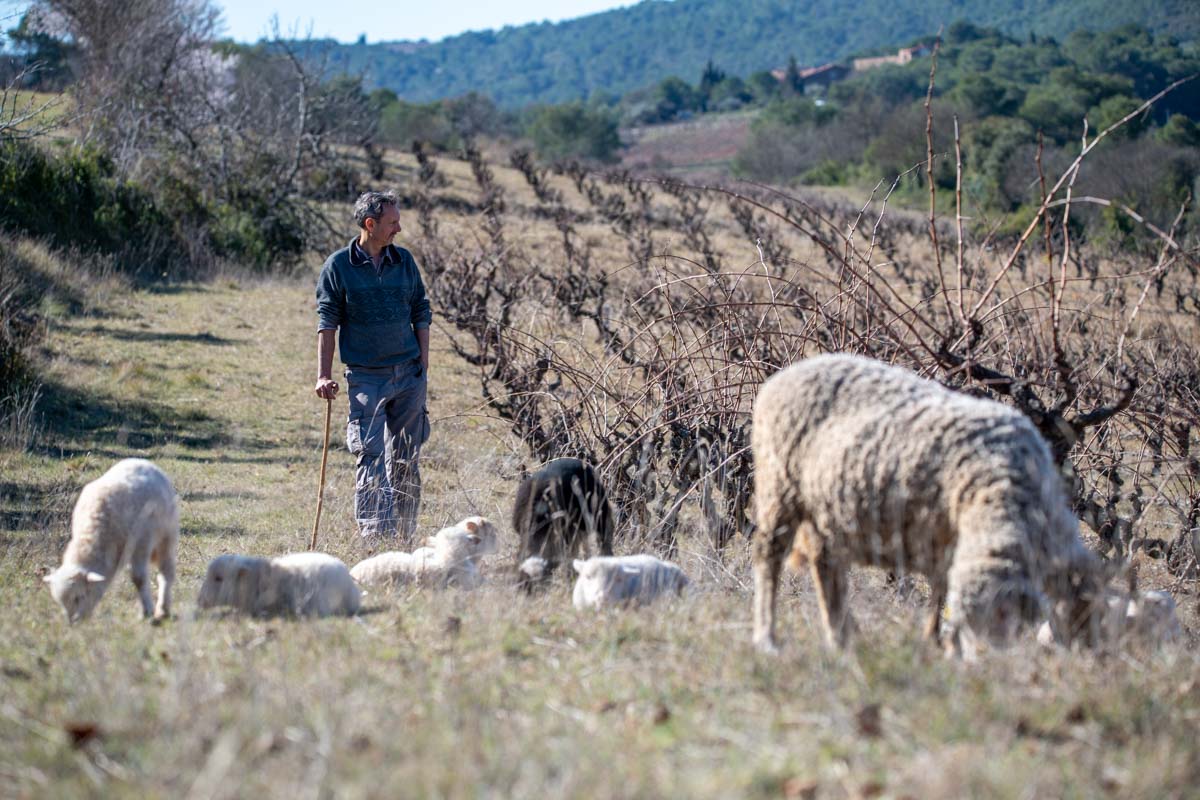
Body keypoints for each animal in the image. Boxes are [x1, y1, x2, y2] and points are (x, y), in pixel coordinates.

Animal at [43, 455, 178, 623]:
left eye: (79, 596)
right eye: (60, 602)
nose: (73, 622)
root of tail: (140, 461)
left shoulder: (142, 542)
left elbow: (138, 578)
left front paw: (146, 611)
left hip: (166, 535)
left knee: (166, 571)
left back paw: (163, 609)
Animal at [748, 357, 1104, 657]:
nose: (983, 662)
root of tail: (789, 372)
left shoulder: (947, 537)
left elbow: (940, 589)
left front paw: (935, 640)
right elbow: (941, 589)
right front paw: (941, 643)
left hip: (823, 509)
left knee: (826, 566)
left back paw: (842, 637)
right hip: (779, 485)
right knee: (770, 557)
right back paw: (767, 639)